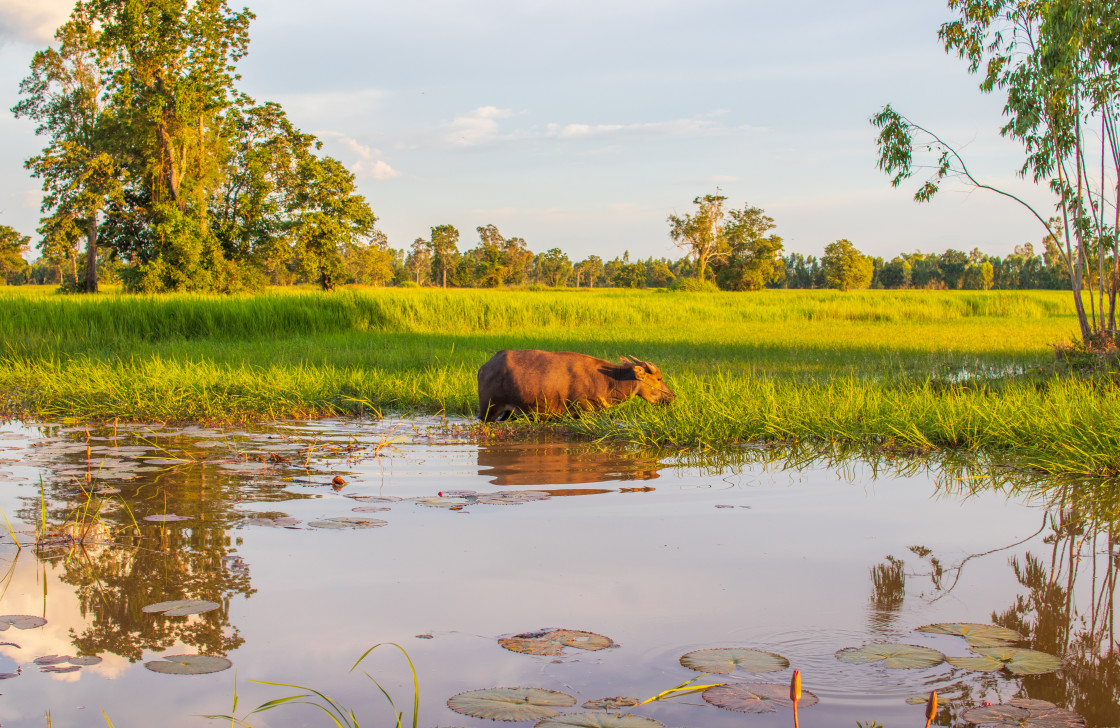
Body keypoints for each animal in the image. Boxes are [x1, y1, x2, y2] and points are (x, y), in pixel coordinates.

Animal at [474, 347, 672, 418]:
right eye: (659, 378)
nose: (672, 396)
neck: (607, 380)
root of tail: (484, 367)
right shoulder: (583, 411)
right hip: (489, 411)